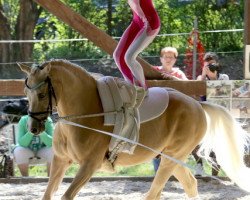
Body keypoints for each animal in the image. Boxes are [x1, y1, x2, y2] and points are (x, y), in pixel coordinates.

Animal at [18, 60, 250, 199]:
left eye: (42, 95)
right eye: (26, 94)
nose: (34, 128)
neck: (83, 114)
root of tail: (198, 104)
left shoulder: (89, 165)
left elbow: (67, 195)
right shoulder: (60, 161)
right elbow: (47, 194)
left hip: (172, 157)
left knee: (155, 192)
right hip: (171, 158)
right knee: (190, 184)